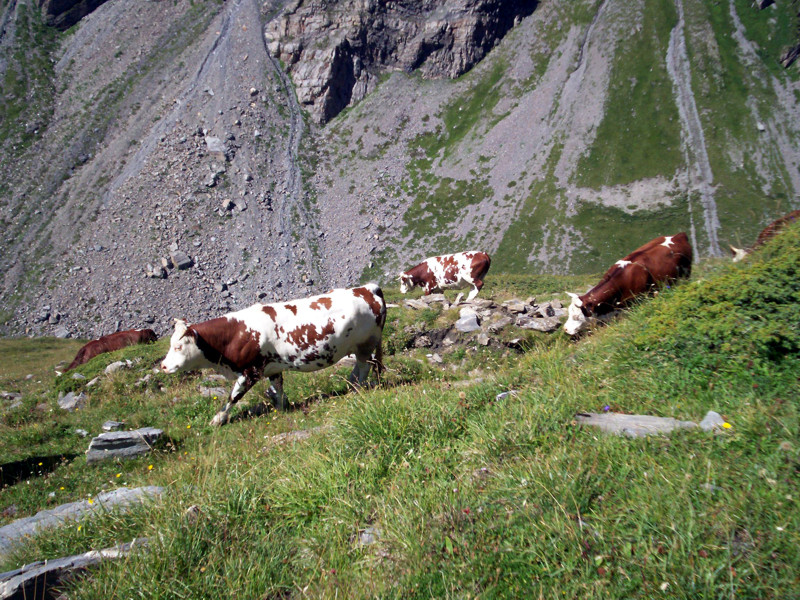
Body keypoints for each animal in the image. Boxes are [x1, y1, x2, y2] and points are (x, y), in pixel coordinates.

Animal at [161, 284, 386, 424]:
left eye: (178, 347)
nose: (163, 366)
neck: (235, 334)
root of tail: (367, 288)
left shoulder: (250, 371)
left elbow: (233, 396)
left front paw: (218, 419)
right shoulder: (272, 368)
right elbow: (277, 389)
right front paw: (282, 408)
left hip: (365, 343)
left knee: (364, 366)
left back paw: (357, 388)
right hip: (359, 346)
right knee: (361, 365)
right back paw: (351, 385)